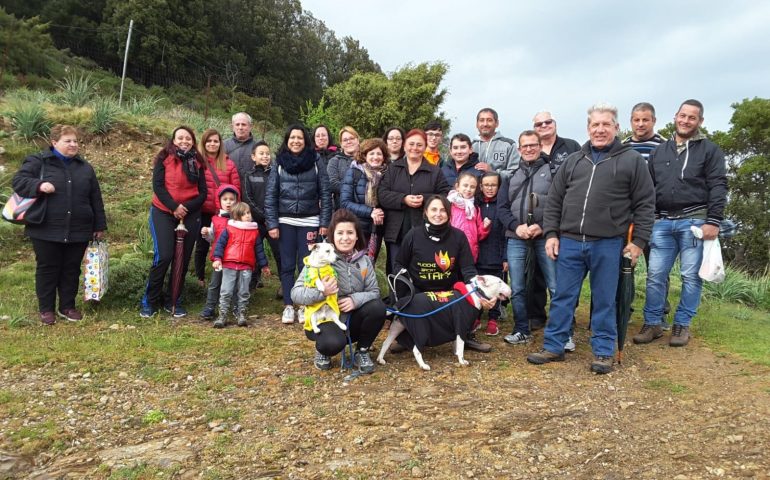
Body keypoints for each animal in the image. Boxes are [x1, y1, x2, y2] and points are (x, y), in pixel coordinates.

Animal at [376, 274, 510, 372]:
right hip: (421, 330)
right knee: (416, 349)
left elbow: (457, 344)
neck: (475, 293)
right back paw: (423, 365)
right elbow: (461, 346)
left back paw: (380, 359)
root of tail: (399, 305)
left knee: (386, 343)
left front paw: (456, 353)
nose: (510, 290)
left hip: (396, 327)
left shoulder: (457, 328)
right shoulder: (461, 325)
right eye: (499, 282)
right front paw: (462, 361)